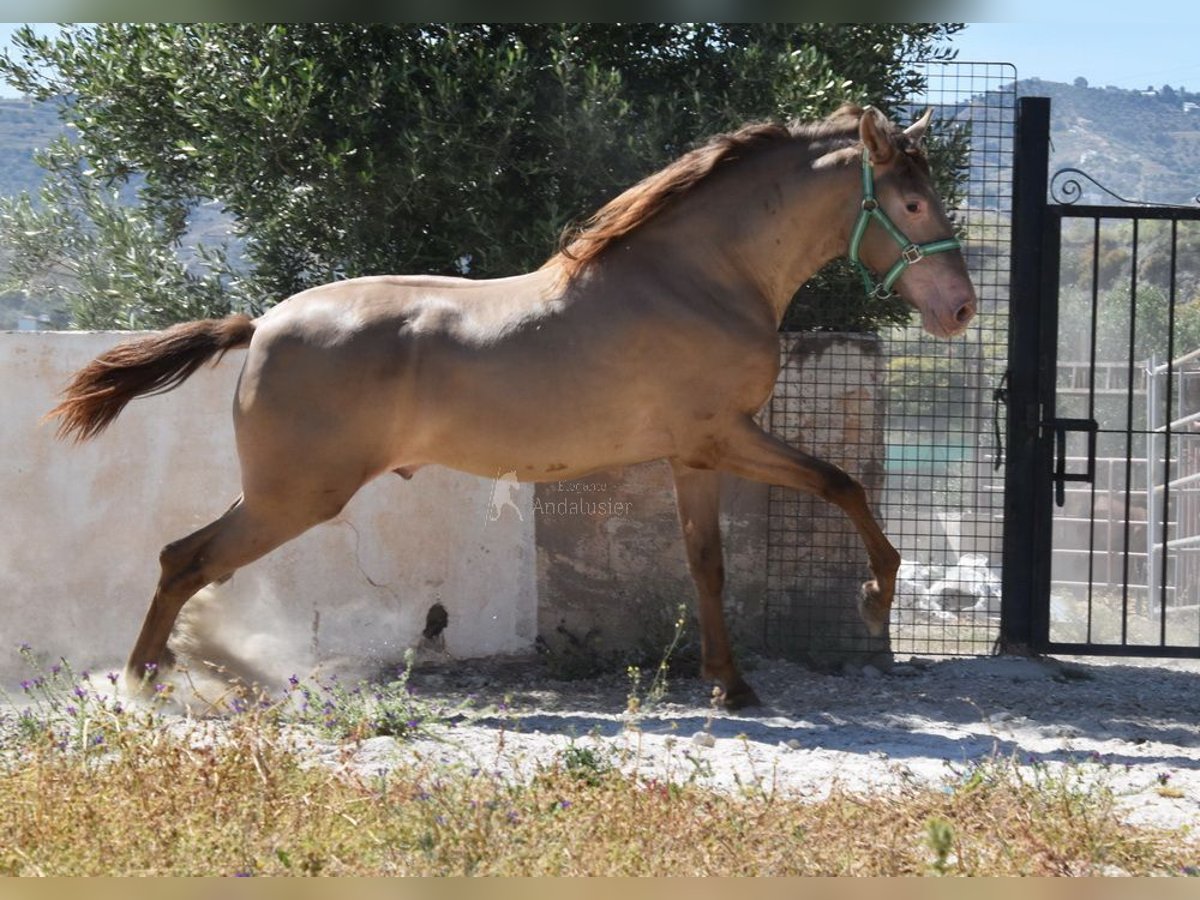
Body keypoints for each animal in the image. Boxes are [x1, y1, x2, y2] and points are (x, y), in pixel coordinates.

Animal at [51, 103, 979, 710]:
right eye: (911, 202)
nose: (963, 309)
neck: (699, 277)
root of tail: (263, 322)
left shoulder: (695, 453)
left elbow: (733, 548)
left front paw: (732, 679)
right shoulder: (719, 437)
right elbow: (828, 491)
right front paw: (864, 606)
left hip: (285, 494)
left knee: (188, 560)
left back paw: (162, 676)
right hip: (296, 494)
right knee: (184, 559)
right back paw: (140, 686)